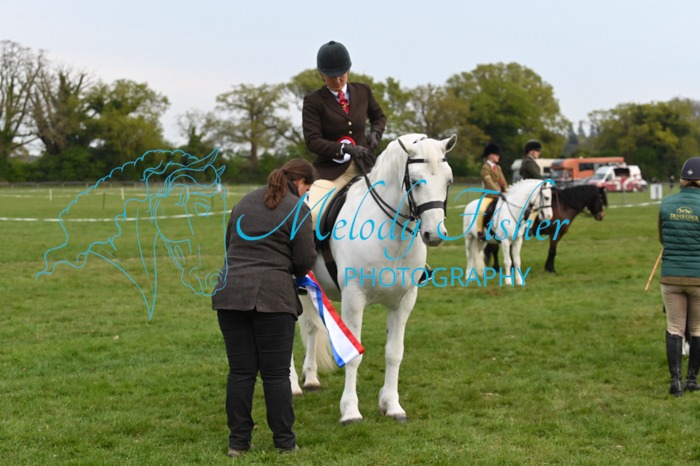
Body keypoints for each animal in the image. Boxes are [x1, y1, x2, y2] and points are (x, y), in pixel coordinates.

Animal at [292, 133, 457, 424]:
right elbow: (353, 355)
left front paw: (392, 405)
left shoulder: (404, 302)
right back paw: (291, 386)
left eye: (448, 181)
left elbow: (394, 353)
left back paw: (310, 379)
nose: (434, 234)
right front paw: (350, 411)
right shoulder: (354, 300)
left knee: (311, 328)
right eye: (416, 181)